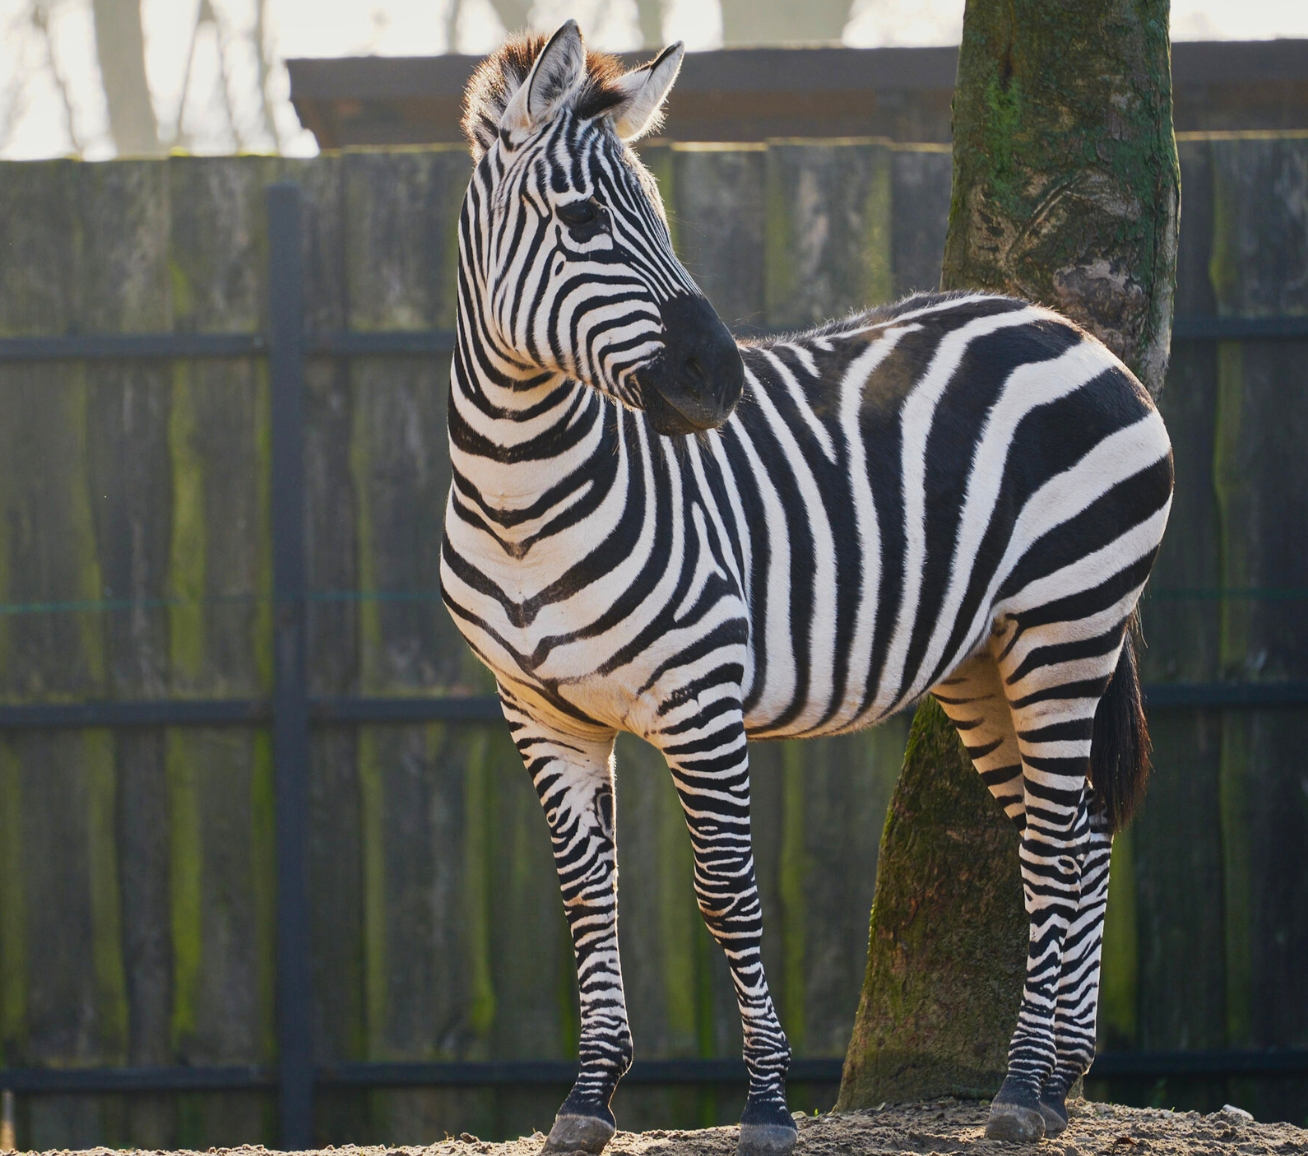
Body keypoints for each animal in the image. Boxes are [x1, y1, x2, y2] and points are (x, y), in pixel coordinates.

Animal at [440, 21, 1173, 1155]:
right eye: (584, 219)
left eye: (659, 216)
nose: (721, 381)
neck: (521, 498)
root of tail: (1068, 329)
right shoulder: (540, 711)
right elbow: (588, 898)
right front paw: (588, 1100)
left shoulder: (699, 696)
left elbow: (727, 895)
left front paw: (768, 1104)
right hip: (986, 659)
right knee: (1078, 836)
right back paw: (1058, 1082)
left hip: (1070, 623)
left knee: (1056, 843)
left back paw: (1018, 1087)